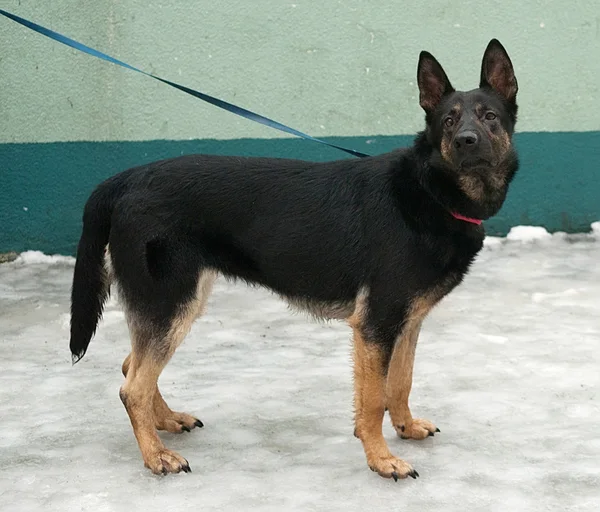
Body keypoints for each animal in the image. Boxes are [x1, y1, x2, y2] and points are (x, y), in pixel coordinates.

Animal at [70, 39, 516, 480]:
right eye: (448, 121)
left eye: (490, 116)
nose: (466, 141)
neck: (430, 191)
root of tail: (125, 179)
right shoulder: (376, 326)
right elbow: (374, 400)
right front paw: (381, 459)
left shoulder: (406, 323)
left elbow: (400, 383)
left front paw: (405, 428)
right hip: (171, 304)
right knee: (133, 387)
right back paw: (156, 455)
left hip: (178, 304)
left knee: (132, 365)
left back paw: (166, 422)